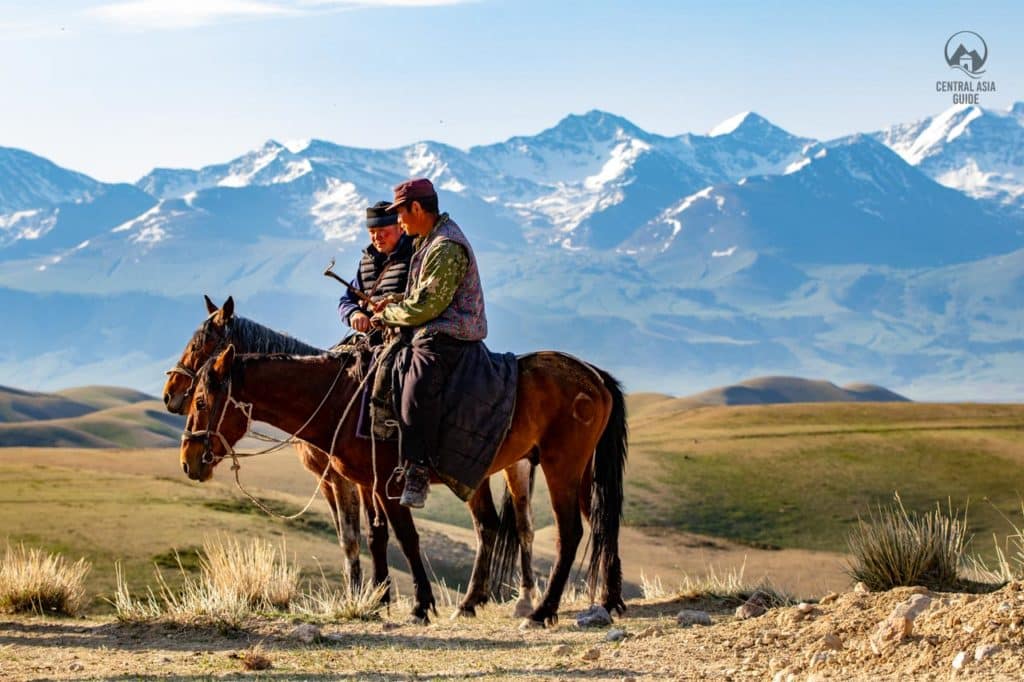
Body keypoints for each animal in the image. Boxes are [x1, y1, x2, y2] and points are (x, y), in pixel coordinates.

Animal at [161, 294, 536, 614]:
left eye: (197, 345)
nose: (168, 394)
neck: (335, 397)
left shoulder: (355, 480)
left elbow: (365, 538)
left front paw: (371, 597)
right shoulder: (352, 480)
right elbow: (366, 536)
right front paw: (375, 597)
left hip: (515, 470)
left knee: (520, 528)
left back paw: (522, 600)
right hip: (473, 476)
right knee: (488, 527)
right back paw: (474, 601)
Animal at [181, 339, 626, 622]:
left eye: (201, 401)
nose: (188, 461)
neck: (342, 398)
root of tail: (592, 376)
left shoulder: (389, 485)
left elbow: (406, 539)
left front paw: (420, 605)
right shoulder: (369, 483)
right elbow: (377, 537)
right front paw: (380, 600)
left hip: (559, 466)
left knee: (568, 532)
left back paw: (541, 611)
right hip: (575, 471)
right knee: (599, 524)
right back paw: (605, 600)